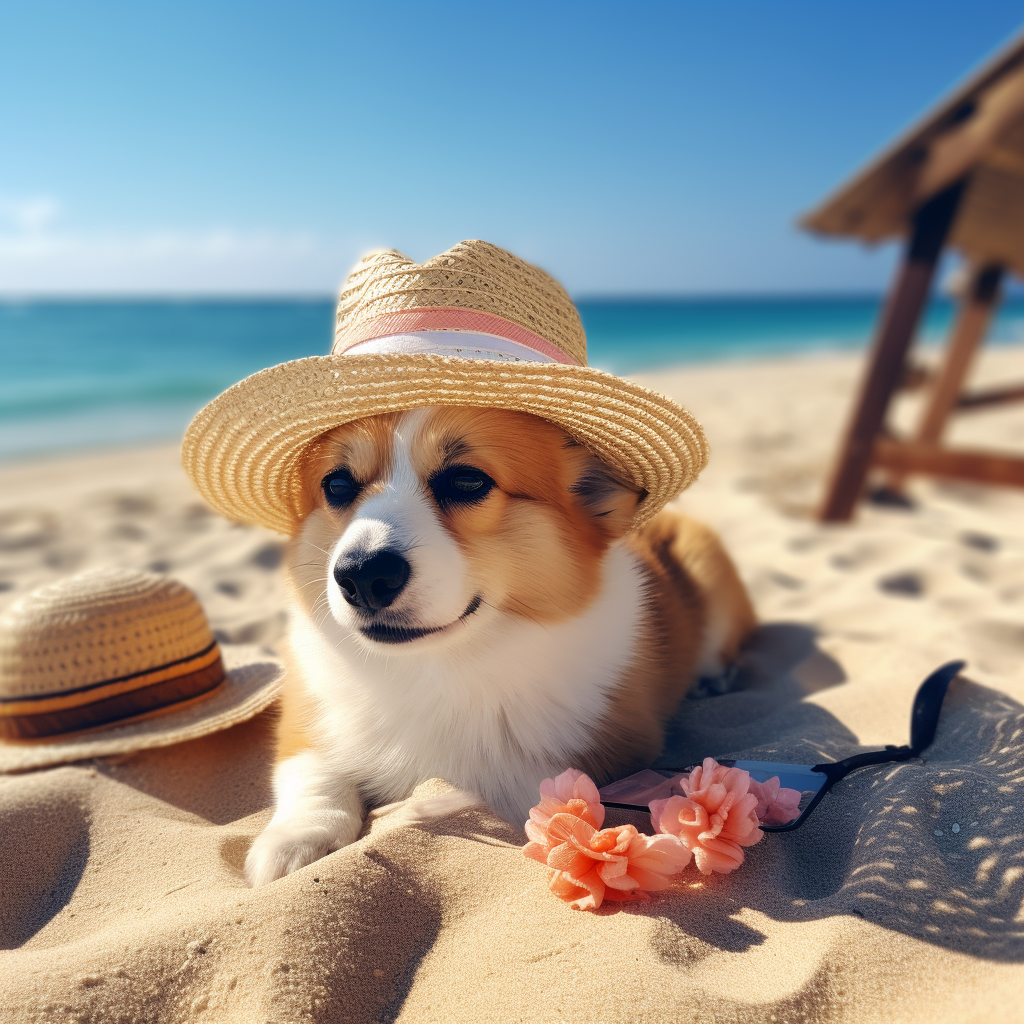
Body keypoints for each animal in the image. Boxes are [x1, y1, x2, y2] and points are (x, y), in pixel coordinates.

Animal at [243, 403, 757, 884]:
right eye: (337, 485)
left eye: (467, 480)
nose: (363, 577)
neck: (434, 664)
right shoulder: (305, 712)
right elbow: (313, 771)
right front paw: (293, 843)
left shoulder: (611, 743)